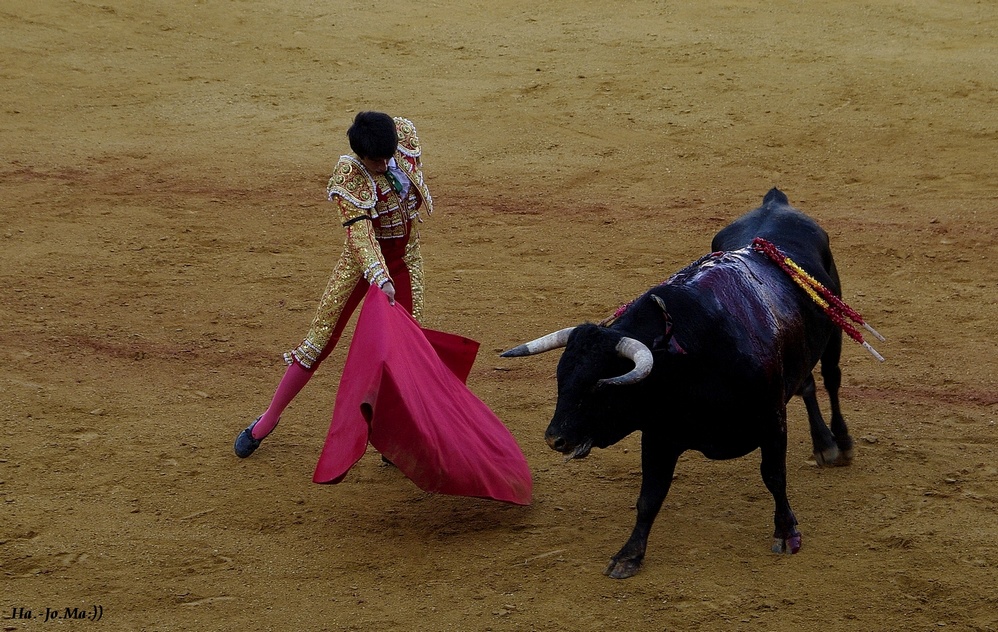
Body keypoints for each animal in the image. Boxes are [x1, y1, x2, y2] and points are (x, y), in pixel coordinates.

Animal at [504, 188, 864, 576]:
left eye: (599, 388)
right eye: (561, 379)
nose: (554, 438)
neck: (688, 360)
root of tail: (775, 202)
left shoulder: (771, 421)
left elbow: (773, 476)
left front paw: (786, 532)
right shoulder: (658, 434)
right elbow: (649, 496)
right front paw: (629, 555)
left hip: (833, 330)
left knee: (830, 379)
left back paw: (839, 442)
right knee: (806, 384)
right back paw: (823, 443)